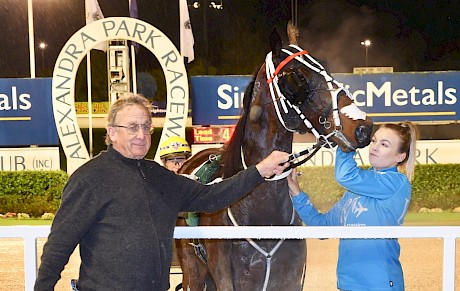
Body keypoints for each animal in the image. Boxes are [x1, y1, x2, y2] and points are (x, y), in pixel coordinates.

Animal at [176, 30, 374, 290]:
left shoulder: (290, 280)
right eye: (297, 78)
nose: (363, 127)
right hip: (193, 274)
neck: (262, 215)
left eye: (327, 69)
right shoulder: (228, 282)